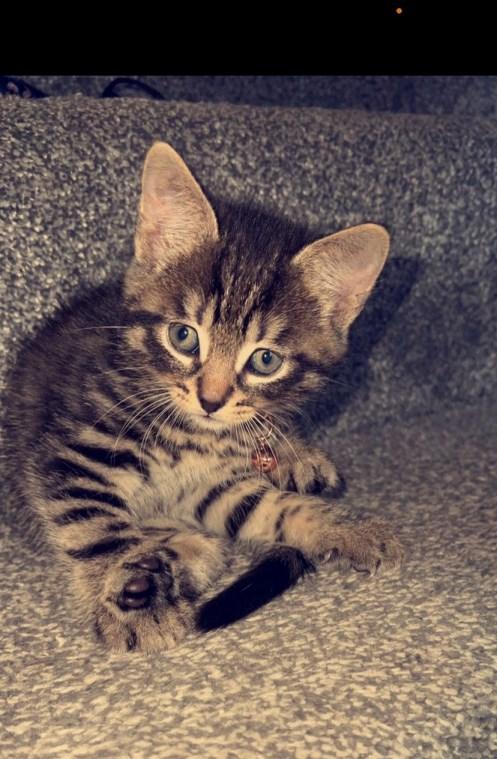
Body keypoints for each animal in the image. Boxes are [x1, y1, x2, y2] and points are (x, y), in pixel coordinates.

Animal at [3, 142, 403, 653]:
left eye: (265, 360)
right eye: (183, 337)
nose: (211, 400)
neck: (192, 435)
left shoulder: (209, 486)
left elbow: (271, 507)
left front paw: (345, 527)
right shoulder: (78, 448)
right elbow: (98, 526)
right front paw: (133, 596)